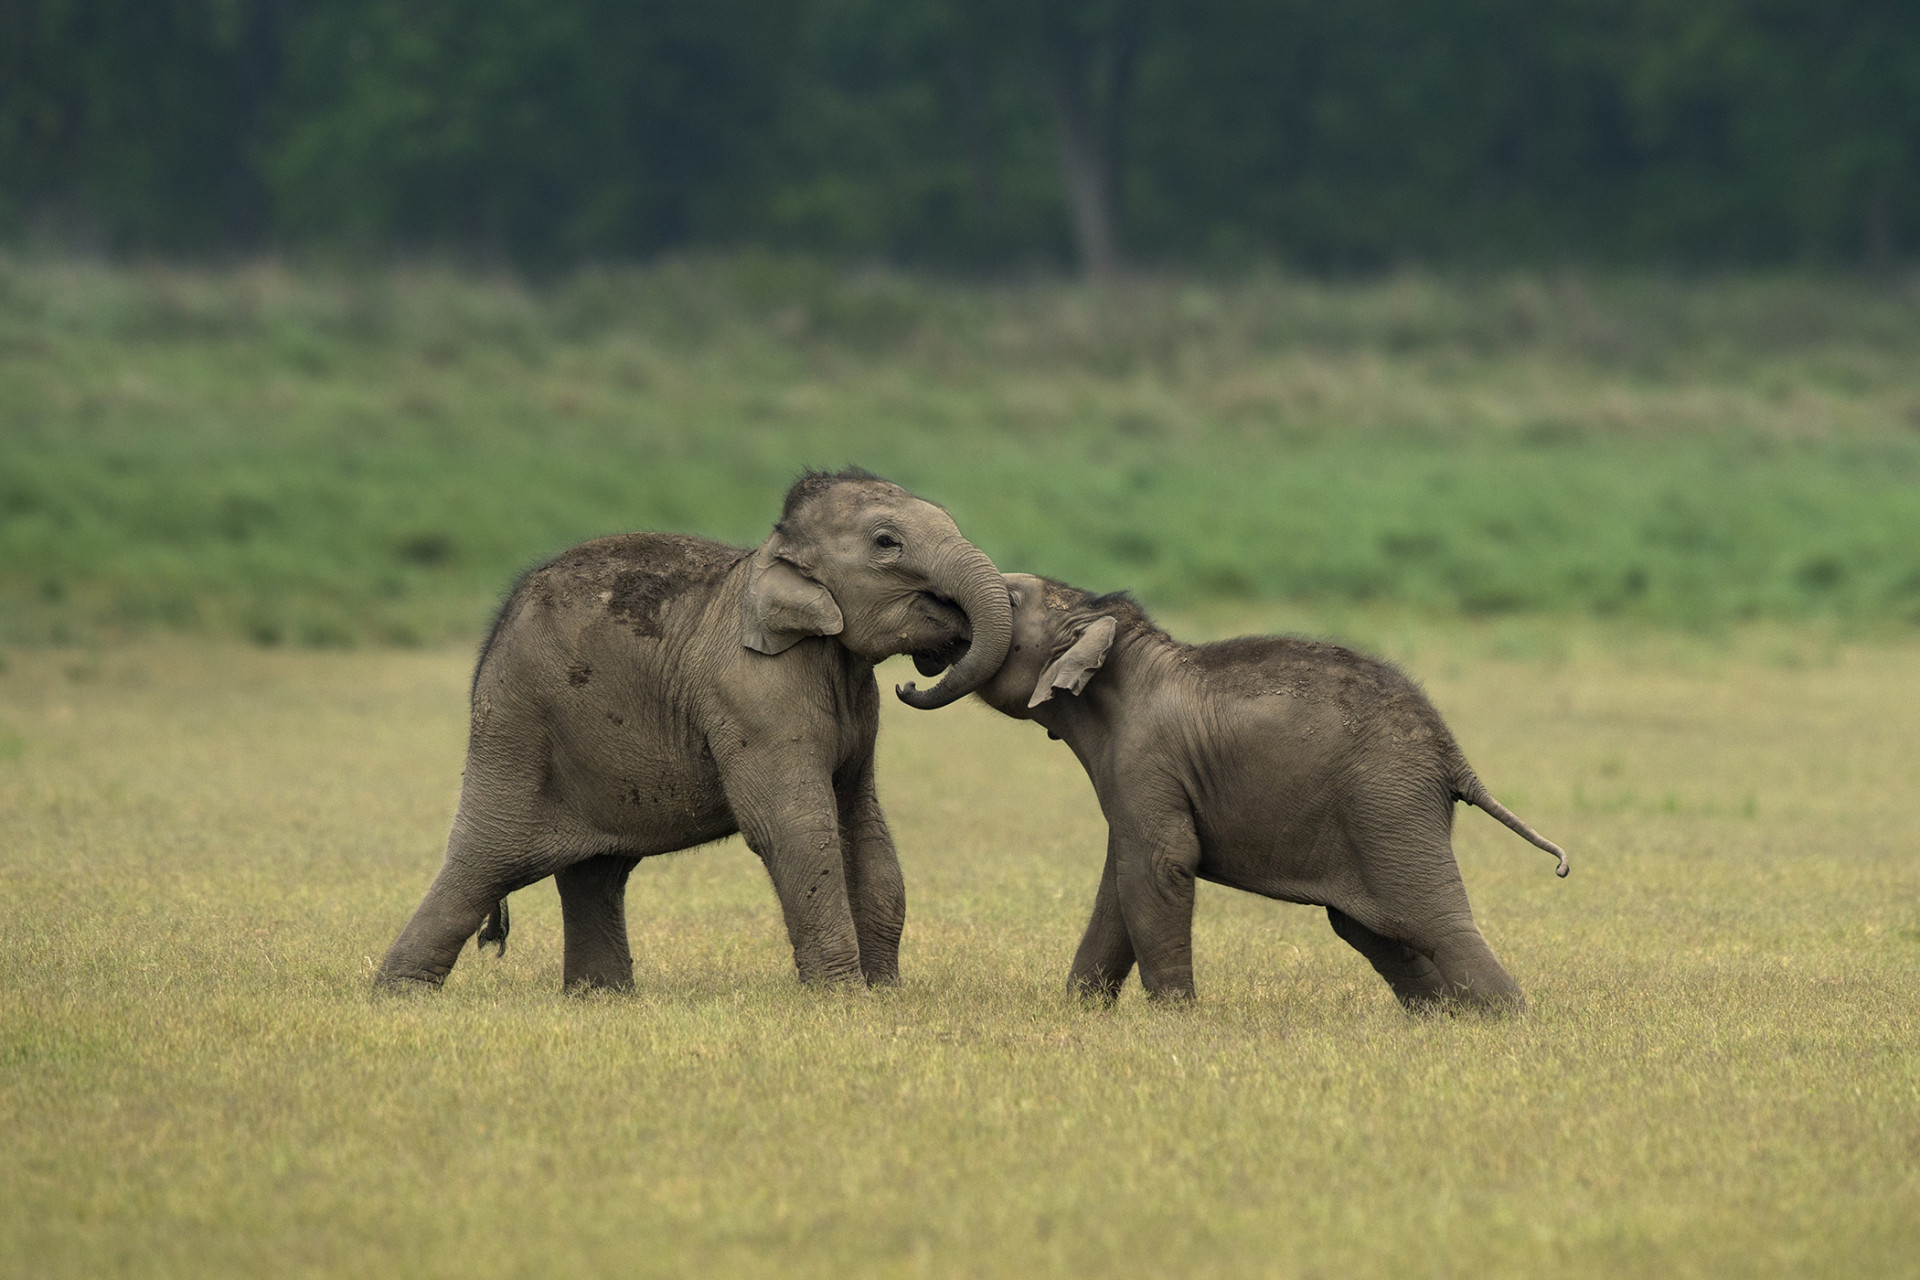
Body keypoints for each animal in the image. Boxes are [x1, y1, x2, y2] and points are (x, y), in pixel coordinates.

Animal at [368, 468, 1013, 990]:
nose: (917, 679)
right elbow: (793, 828)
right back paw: (400, 998)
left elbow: (864, 825)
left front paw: (885, 995)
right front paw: (843, 997)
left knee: (594, 875)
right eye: (886, 543)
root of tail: (491, 642)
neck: (772, 557)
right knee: (483, 864)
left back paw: (602, 999)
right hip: (515, 732)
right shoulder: (753, 694)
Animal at [921, 579, 1566, 1013]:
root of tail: (1452, 754)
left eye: (1010, 596)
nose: (912, 671)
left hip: (1388, 803)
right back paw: (1445, 1023)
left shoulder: (1147, 758)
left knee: (1433, 922)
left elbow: (1160, 864)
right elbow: (1120, 880)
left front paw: (1176, 1025)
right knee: (1374, 931)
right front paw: (1082, 1015)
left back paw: (1505, 1025)